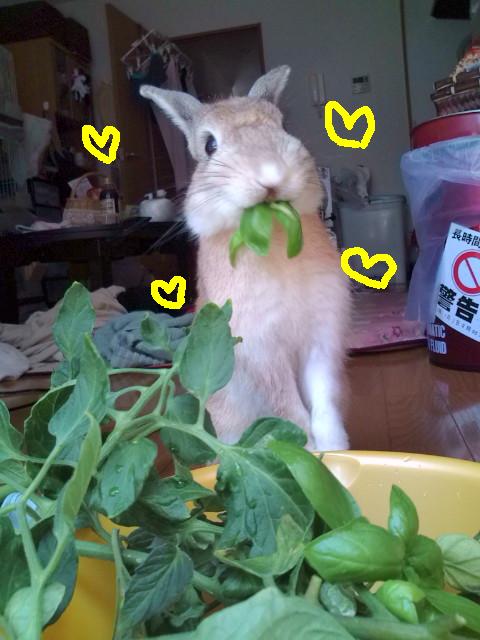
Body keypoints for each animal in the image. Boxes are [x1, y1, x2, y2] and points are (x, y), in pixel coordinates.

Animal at [140, 65, 351, 451]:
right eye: (209, 145)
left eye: (282, 126)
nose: (270, 174)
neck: (275, 230)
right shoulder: (260, 350)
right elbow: (288, 408)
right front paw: (312, 453)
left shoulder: (321, 336)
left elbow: (323, 396)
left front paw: (336, 447)